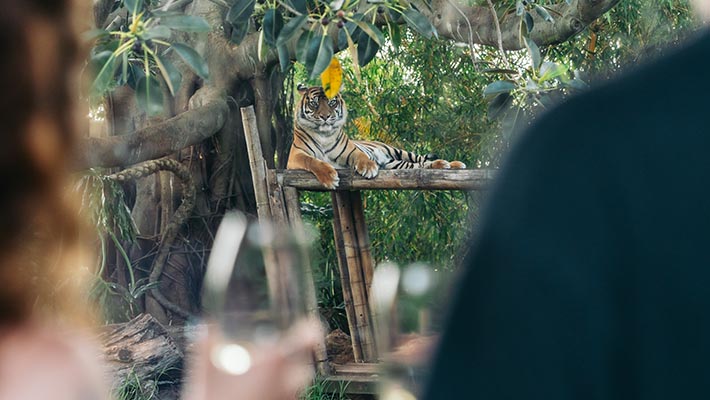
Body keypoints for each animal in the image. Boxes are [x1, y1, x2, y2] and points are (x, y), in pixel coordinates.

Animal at [287, 85, 466, 189]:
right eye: (314, 103)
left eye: (332, 103)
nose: (325, 116)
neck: (323, 134)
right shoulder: (295, 157)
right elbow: (312, 161)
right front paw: (330, 178)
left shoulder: (350, 150)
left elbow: (360, 155)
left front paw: (368, 167)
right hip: (395, 164)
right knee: (419, 166)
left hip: (398, 151)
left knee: (421, 159)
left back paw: (452, 164)